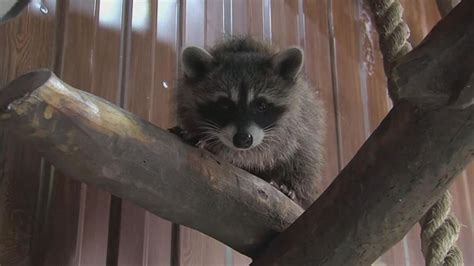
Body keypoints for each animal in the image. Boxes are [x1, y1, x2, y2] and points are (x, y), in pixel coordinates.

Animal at [174, 37, 326, 208]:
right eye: (224, 104)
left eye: (261, 105)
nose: (243, 139)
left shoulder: (295, 121)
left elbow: (266, 151)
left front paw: (216, 147)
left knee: (305, 155)